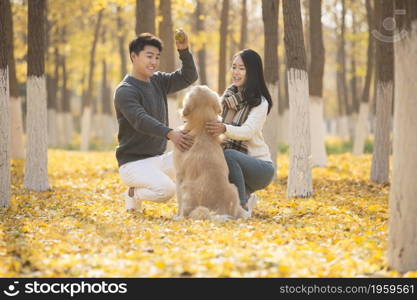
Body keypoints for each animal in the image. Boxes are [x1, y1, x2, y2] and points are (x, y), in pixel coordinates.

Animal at [173, 85, 249, 221]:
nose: (194, 85)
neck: (202, 128)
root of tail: (220, 209)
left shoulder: (179, 174)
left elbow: (179, 199)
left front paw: (177, 214)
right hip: (234, 187)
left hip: (187, 187)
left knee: (187, 212)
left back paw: (180, 217)